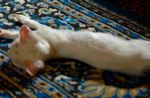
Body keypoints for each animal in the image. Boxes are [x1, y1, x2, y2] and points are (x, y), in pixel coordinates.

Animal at [0, 15, 150, 76]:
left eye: (15, 46)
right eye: (14, 61)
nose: (7, 52)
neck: (52, 48)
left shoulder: (45, 30)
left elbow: (30, 24)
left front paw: (20, 19)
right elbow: (17, 32)